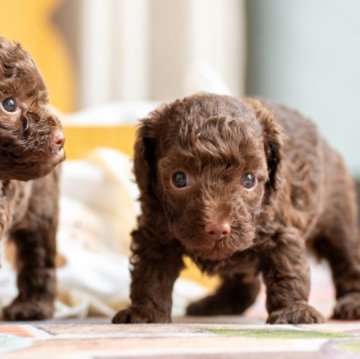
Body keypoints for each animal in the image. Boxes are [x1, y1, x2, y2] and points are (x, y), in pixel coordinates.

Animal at [113, 93, 360, 326]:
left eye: (249, 179)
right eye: (179, 179)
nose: (218, 228)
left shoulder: (280, 230)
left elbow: (287, 269)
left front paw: (293, 311)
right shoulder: (155, 231)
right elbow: (150, 273)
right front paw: (144, 311)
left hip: (338, 216)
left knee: (347, 257)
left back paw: (353, 303)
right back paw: (218, 304)